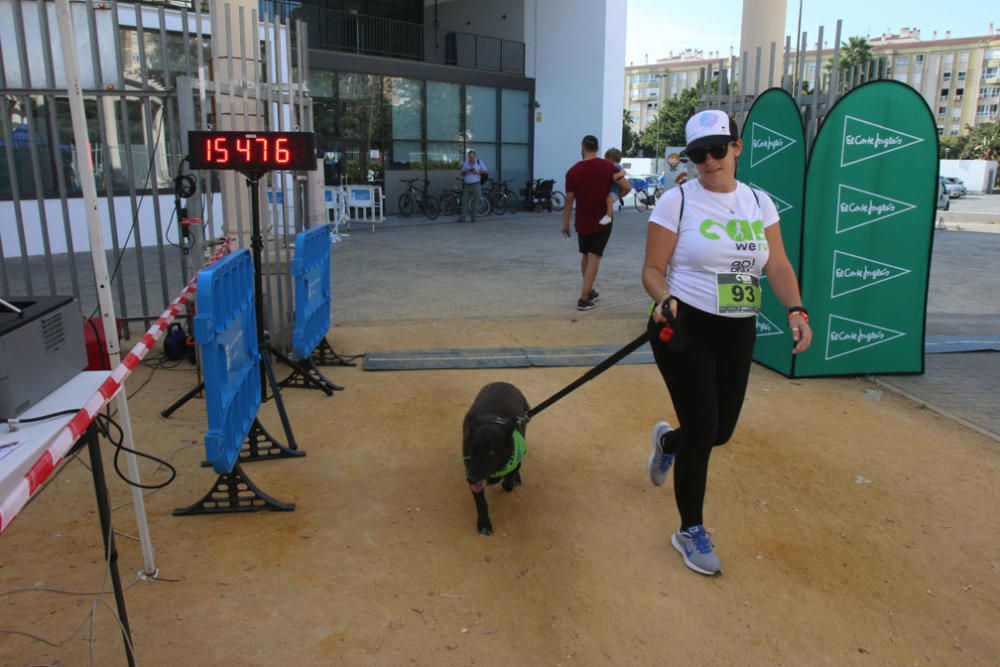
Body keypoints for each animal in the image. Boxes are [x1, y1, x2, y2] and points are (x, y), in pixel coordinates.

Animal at [464, 384, 532, 536]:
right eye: (472, 450)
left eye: (491, 452)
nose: (470, 479)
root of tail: (503, 382)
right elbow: (481, 504)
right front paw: (484, 524)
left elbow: (509, 479)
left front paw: (510, 480)